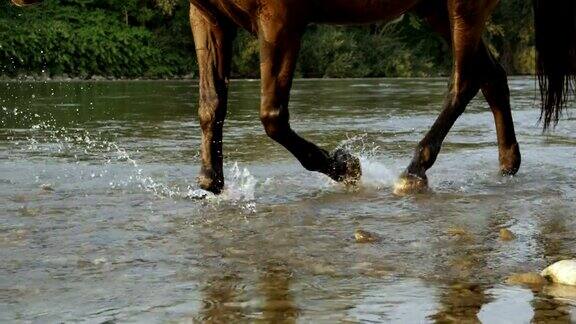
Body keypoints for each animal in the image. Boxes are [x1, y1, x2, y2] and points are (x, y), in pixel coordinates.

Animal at [11, 0, 572, 194]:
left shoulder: (281, 19)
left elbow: (271, 116)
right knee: (491, 77)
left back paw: (415, 169)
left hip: (460, 6)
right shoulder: (207, 14)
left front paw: (345, 166)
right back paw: (507, 166)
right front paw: (210, 184)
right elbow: (211, 105)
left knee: (464, 82)